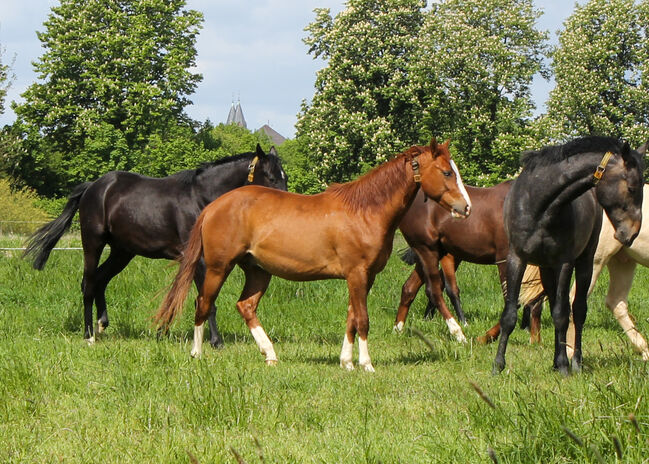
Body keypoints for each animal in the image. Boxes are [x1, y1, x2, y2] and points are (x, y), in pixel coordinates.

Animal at [25, 145, 288, 344]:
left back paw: (102, 324)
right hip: (93, 243)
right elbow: (206, 301)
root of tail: (92, 187)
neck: (201, 199)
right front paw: (216, 342)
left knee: (100, 279)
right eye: (272, 177)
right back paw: (89, 334)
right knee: (88, 283)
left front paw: (163, 332)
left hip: (122, 252)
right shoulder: (201, 260)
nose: (286, 203)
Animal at [157, 138, 470, 370]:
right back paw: (197, 354)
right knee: (203, 303)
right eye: (446, 172)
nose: (465, 208)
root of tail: (214, 206)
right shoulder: (357, 274)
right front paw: (366, 365)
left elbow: (352, 318)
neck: (365, 210)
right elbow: (363, 319)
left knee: (245, 306)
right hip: (218, 267)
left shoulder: (363, 277)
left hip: (258, 271)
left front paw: (346, 362)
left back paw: (270, 354)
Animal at [392, 180, 544, 340]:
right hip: (428, 252)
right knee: (433, 290)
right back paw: (459, 329)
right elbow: (515, 300)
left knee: (410, 288)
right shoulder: (504, 260)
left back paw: (399, 328)